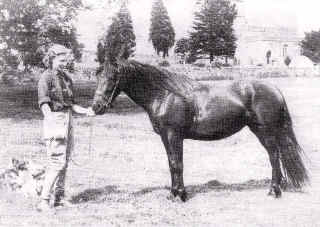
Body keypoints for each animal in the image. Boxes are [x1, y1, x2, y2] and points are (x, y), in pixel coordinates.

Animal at [92, 55, 308, 201]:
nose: (96, 107)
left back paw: (274, 191)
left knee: (274, 156)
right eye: (98, 75)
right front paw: (173, 193)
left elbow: (177, 164)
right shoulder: (165, 137)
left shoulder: (174, 135)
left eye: (113, 77)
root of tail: (274, 89)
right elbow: (171, 164)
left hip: (265, 131)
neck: (164, 95)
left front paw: (180, 195)